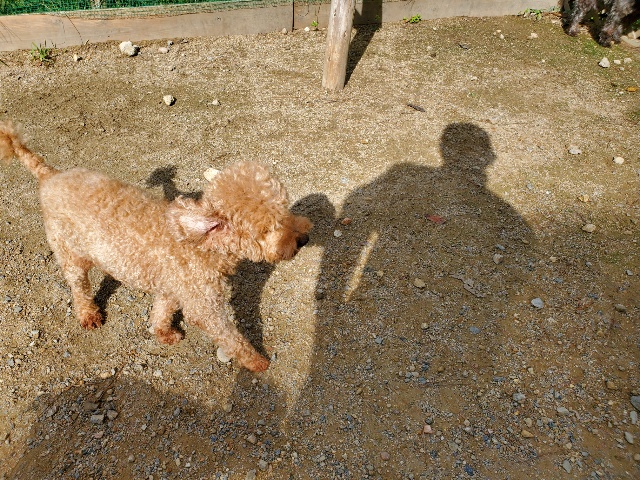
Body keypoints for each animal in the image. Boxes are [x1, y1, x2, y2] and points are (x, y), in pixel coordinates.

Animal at [0, 121, 311, 372]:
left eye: (285, 209)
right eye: (268, 229)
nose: (304, 239)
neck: (206, 247)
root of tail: (51, 175)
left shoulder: (172, 286)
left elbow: (163, 309)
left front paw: (163, 333)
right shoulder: (205, 304)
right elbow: (230, 337)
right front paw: (257, 362)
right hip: (68, 251)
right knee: (79, 286)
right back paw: (88, 314)